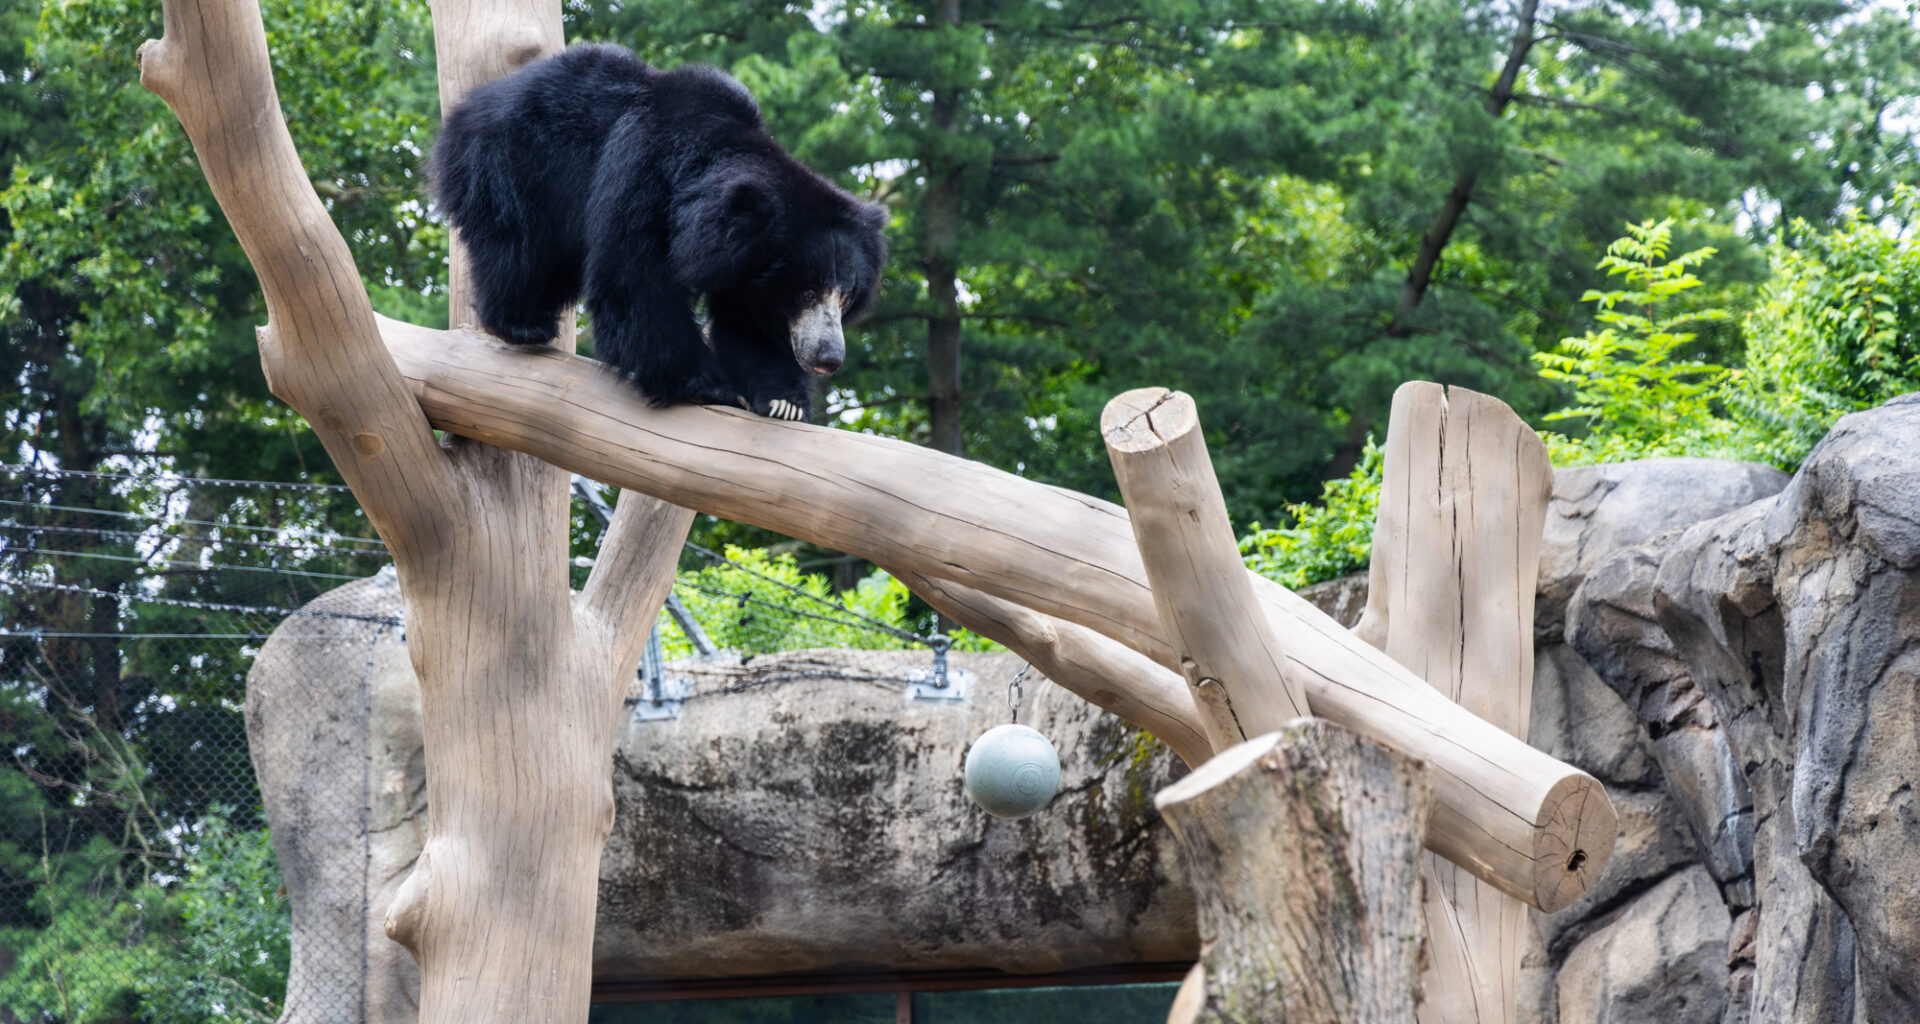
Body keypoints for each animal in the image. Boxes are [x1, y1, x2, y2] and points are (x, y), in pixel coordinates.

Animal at [430, 44, 887, 421]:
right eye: (807, 292)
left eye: (845, 297)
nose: (830, 357)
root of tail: (470, 108)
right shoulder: (642, 174)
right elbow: (634, 283)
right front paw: (710, 386)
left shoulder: (744, 268)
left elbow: (747, 323)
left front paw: (783, 401)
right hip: (512, 167)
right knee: (521, 249)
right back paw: (523, 324)